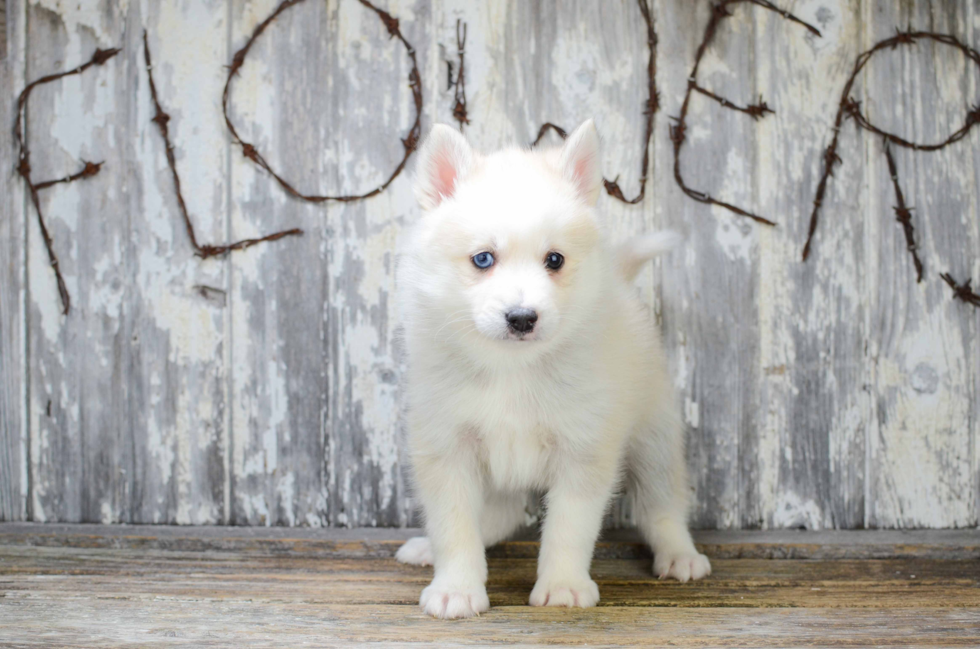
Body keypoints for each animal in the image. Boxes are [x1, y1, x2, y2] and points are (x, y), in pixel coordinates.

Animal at [394, 117, 708, 616]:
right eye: (483, 258)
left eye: (554, 259)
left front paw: (563, 587)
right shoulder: (447, 447)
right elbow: (455, 527)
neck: (512, 368)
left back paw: (680, 555)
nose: (523, 318)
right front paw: (457, 588)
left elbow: (568, 529)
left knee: (662, 506)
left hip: (654, 439)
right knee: (499, 515)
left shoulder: (583, 450)